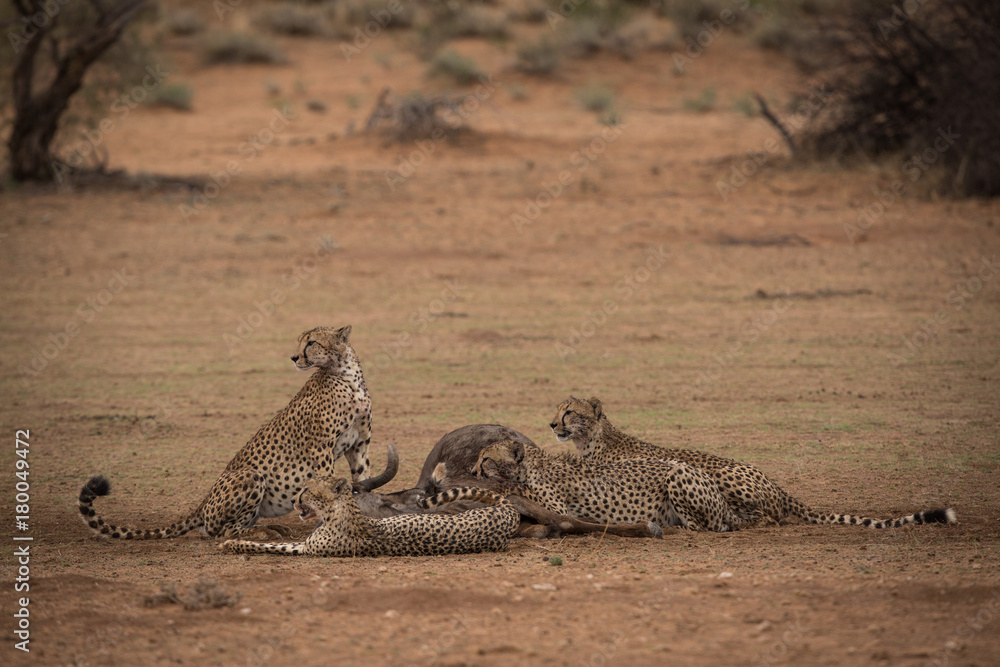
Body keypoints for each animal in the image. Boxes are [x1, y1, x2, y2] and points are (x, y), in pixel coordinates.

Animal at [78, 325, 375, 540]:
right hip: (251, 475)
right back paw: (265, 532)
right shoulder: (321, 447)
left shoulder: (359, 444)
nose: (294, 357)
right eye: (300, 342)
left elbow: (364, 481)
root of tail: (203, 503)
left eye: (311, 342)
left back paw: (275, 528)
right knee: (220, 531)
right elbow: (327, 484)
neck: (346, 374)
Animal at [219, 476, 520, 556]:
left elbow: (270, 546)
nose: (294, 500)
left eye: (307, 490)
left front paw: (231, 544)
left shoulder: (305, 548)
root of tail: (508, 512)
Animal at [473, 439, 762, 532]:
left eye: (486, 459)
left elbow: (521, 491)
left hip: (677, 471)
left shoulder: (556, 506)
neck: (531, 465)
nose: (473, 470)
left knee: (705, 527)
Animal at [549, 396, 957, 529]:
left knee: (768, 518)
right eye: (557, 410)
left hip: (725, 477)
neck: (592, 439)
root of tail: (774, 481)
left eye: (569, 412)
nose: (552, 424)